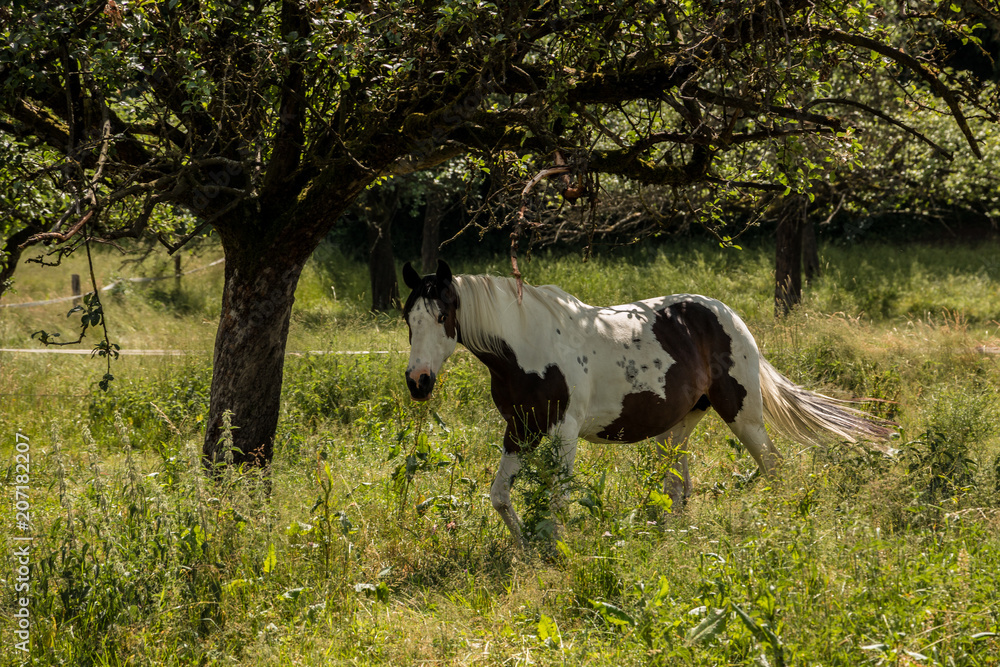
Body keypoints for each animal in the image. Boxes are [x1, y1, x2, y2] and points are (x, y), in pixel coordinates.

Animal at [402, 260, 896, 548]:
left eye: (443, 316)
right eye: (408, 319)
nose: (418, 382)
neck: (526, 346)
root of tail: (726, 313)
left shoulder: (563, 431)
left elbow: (557, 497)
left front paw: (554, 550)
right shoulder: (520, 430)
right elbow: (500, 496)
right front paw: (525, 550)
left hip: (742, 414)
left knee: (773, 465)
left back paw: (780, 526)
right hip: (678, 425)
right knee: (679, 486)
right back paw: (674, 538)